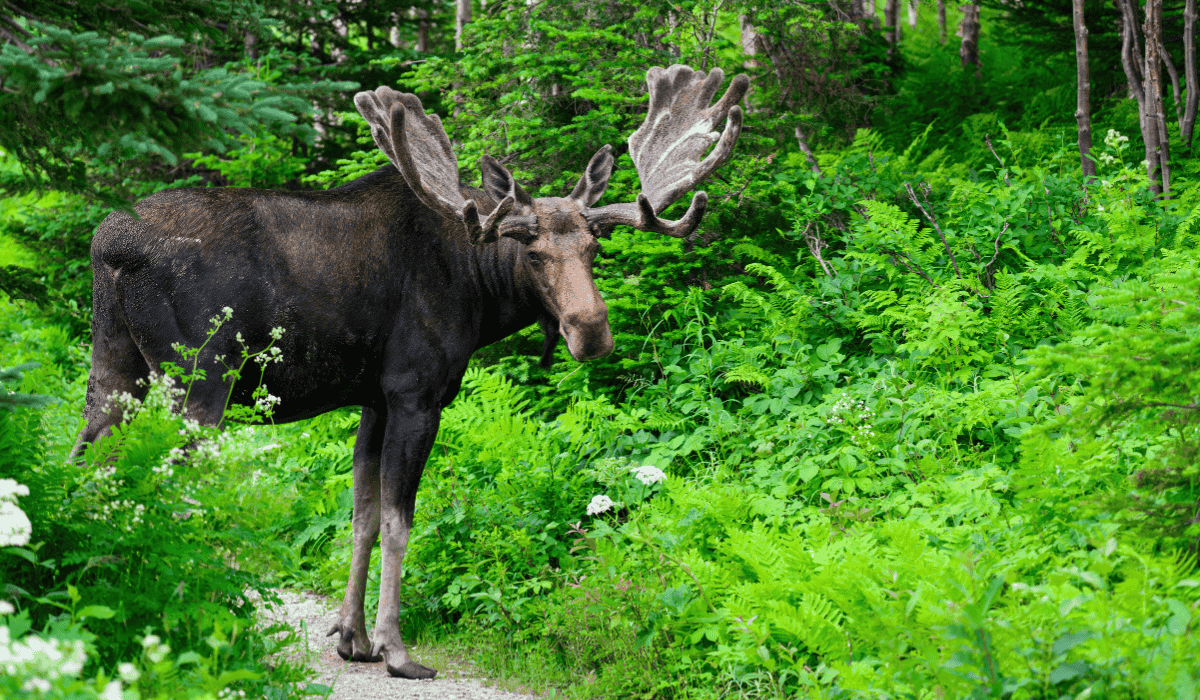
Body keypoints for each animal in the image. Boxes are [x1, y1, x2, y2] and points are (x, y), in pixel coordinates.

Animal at [74, 64, 748, 679]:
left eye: (594, 249)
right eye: (531, 252)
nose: (591, 331)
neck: (478, 292)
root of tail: (112, 247)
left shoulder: (374, 397)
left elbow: (362, 515)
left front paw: (352, 637)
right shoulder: (416, 393)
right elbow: (400, 522)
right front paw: (395, 649)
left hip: (114, 369)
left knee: (89, 462)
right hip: (198, 378)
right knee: (166, 483)